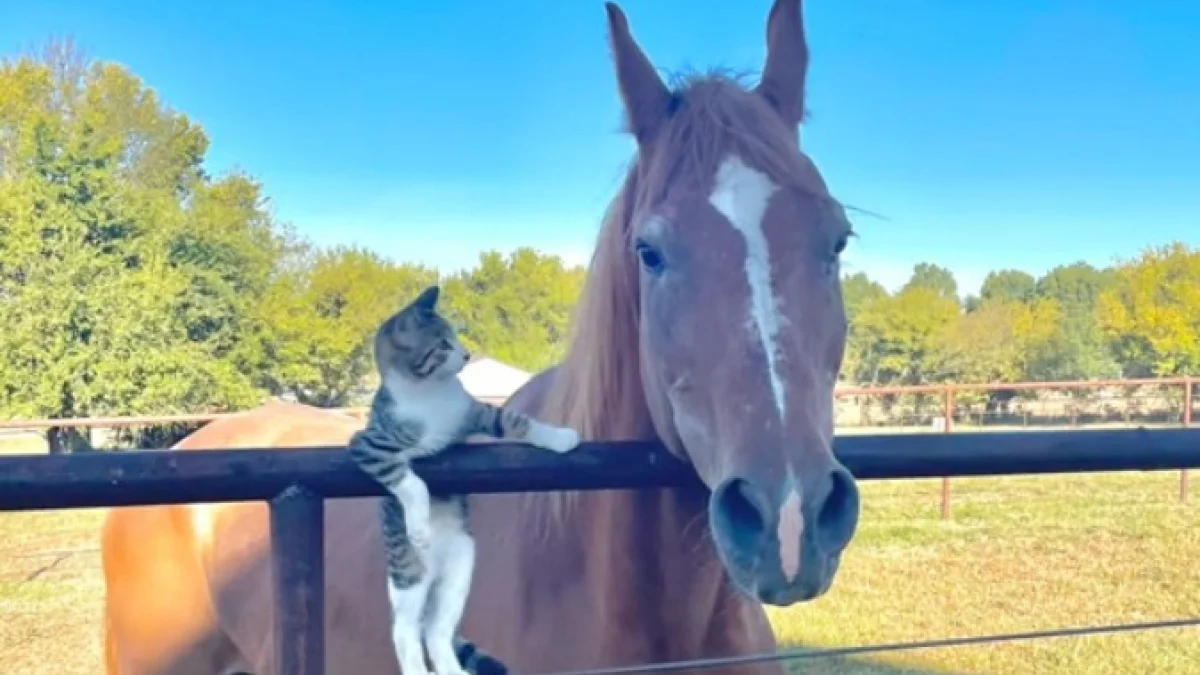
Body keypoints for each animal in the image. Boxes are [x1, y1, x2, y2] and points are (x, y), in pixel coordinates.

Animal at [348, 283, 580, 672]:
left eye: (455, 339)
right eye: (443, 344)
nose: (467, 355)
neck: (429, 393)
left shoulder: (476, 413)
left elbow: (516, 420)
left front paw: (558, 437)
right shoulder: (368, 446)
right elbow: (409, 480)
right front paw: (419, 523)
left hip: (461, 568)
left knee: (436, 630)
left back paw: (452, 667)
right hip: (408, 574)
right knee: (405, 630)